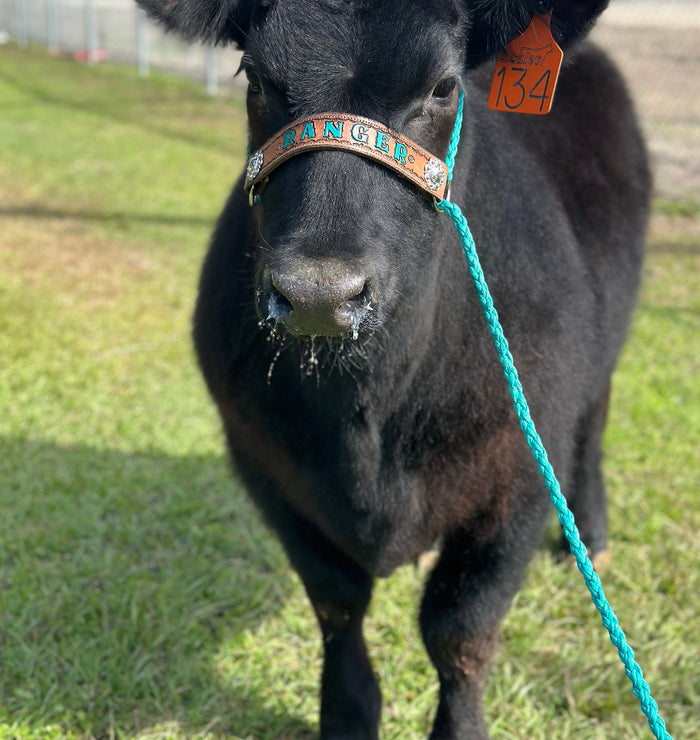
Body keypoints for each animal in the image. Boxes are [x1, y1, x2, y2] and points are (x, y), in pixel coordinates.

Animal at [137, 0, 650, 737]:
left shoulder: (521, 469)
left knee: (595, 427)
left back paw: (593, 535)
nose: (320, 292)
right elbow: (336, 601)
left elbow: (459, 629)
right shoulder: (263, 460)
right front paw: (347, 715)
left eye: (443, 86)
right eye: (255, 77)